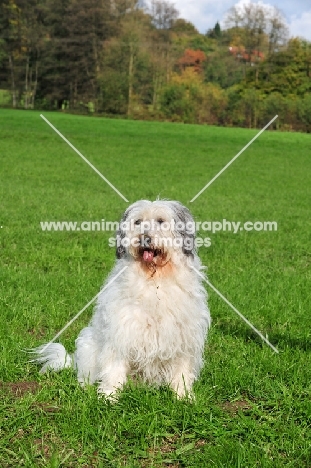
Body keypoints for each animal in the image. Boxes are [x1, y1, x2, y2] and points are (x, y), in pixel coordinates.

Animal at [33, 200, 211, 398]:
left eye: (161, 221)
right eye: (138, 222)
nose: (144, 238)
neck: (154, 280)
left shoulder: (185, 337)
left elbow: (182, 372)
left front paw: (183, 397)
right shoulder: (122, 332)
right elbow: (114, 369)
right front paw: (109, 397)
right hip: (88, 344)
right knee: (86, 375)